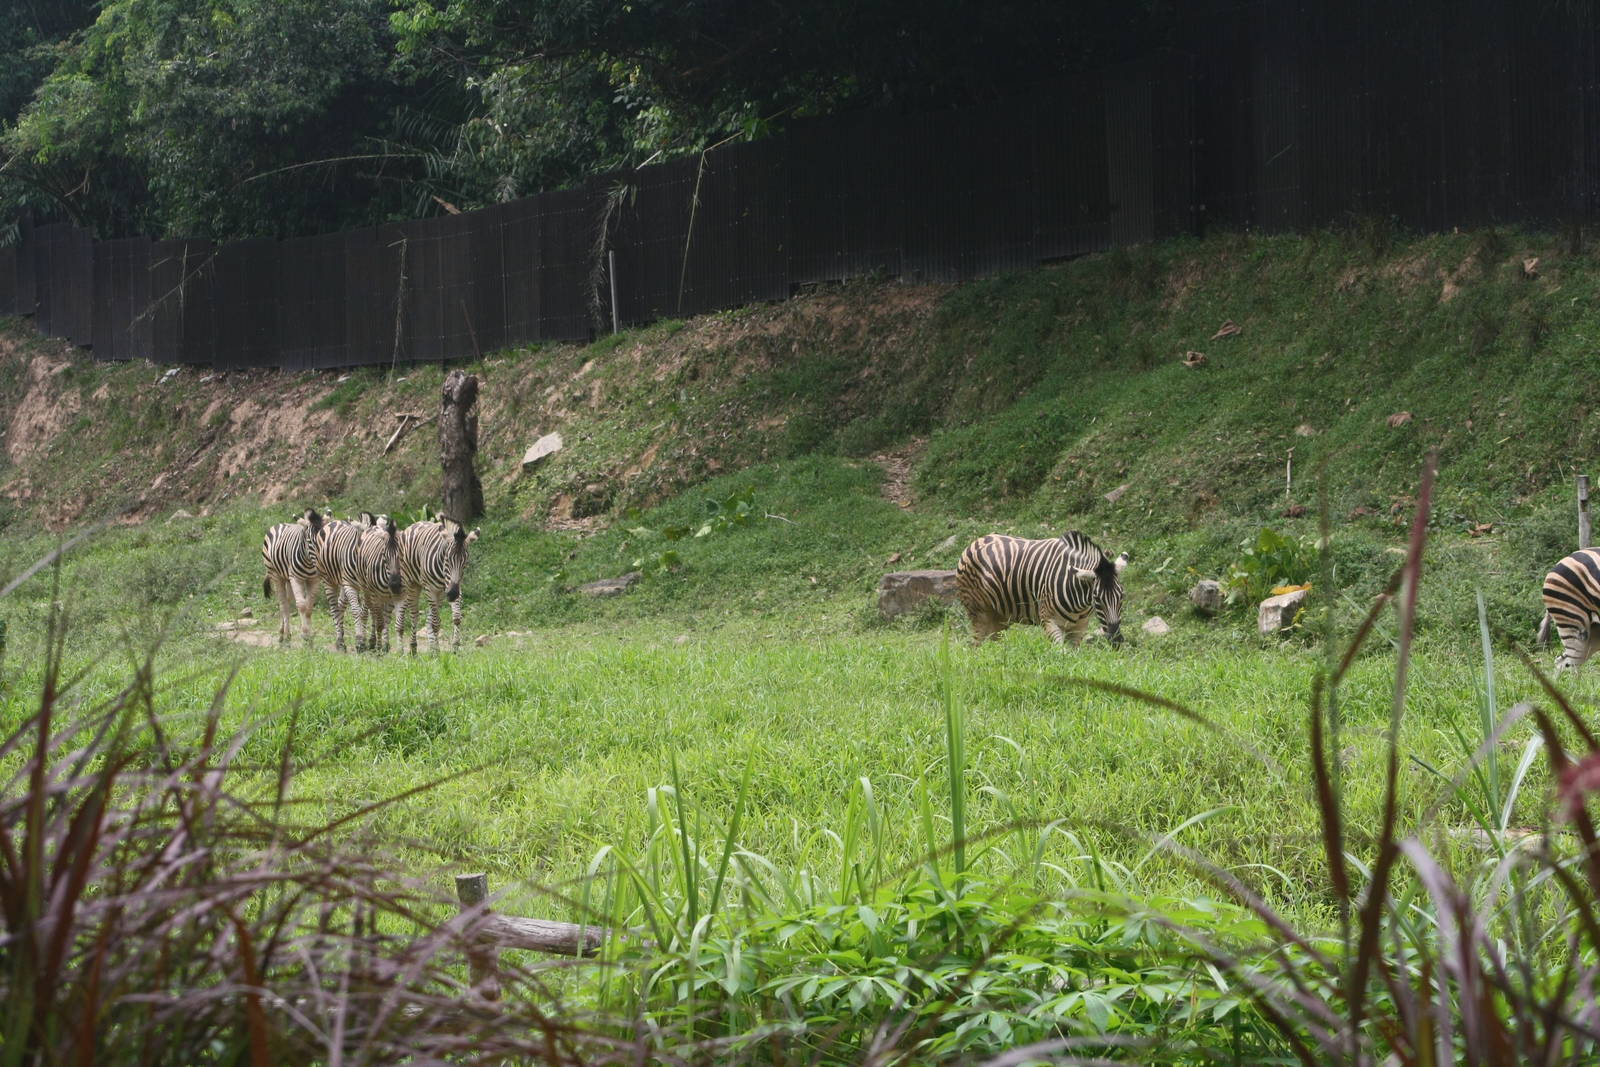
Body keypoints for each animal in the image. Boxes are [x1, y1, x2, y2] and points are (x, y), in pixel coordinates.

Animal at [262, 509, 324, 647]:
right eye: (309, 541)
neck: (309, 562)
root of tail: (281, 524)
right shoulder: (296, 579)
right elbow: (301, 605)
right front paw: (305, 634)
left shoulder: (314, 580)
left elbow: (309, 607)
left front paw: (309, 635)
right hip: (276, 575)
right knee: (283, 603)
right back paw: (282, 635)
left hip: (287, 578)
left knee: (288, 601)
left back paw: (287, 633)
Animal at [314, 512, 376, 653]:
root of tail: (334, 521)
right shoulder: (350, 584)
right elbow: (356, 611)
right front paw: (359, 641)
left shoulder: (367, 588)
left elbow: (365, 612)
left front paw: (364, 640)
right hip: (329, 580)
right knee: (334, 608)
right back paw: (340, 642)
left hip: (342, 582)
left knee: (341, 604)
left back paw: (340, 639)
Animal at [351, 516, 405, 653]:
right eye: (384, 555)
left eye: (401, 556)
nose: (395, 585)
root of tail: (373, 526)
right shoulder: (376, 595)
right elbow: (379, 622)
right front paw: (379, 648)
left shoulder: (400, 596)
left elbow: (398, 624)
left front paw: (399, 650)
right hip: (367, 589)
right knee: (371, 613)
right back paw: (368, 642)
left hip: (386, 598)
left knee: (384, 616)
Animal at [397, 516, 480, 653]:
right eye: (447, 560)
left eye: (465, 563)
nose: (452, 594)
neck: (444, 575)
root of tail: (415, 524)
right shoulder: (430, 589)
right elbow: (436, 623)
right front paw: (438, 652)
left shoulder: (456, 587)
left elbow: (457, 618)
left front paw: (455, 646)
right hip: (411, 584)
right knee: (413, 615)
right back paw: (411, 649)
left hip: (439, 593)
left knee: (428, 618)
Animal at [956, 530, 1128, 648]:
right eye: (1097, 599)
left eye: (1121, 597)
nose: (1117, 640)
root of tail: (976, 541)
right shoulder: (1049, 621)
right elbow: (1062, 656)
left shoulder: (1079, 627)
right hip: (978, 613)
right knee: (976, 645)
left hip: (999, 616)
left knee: (992, 645)